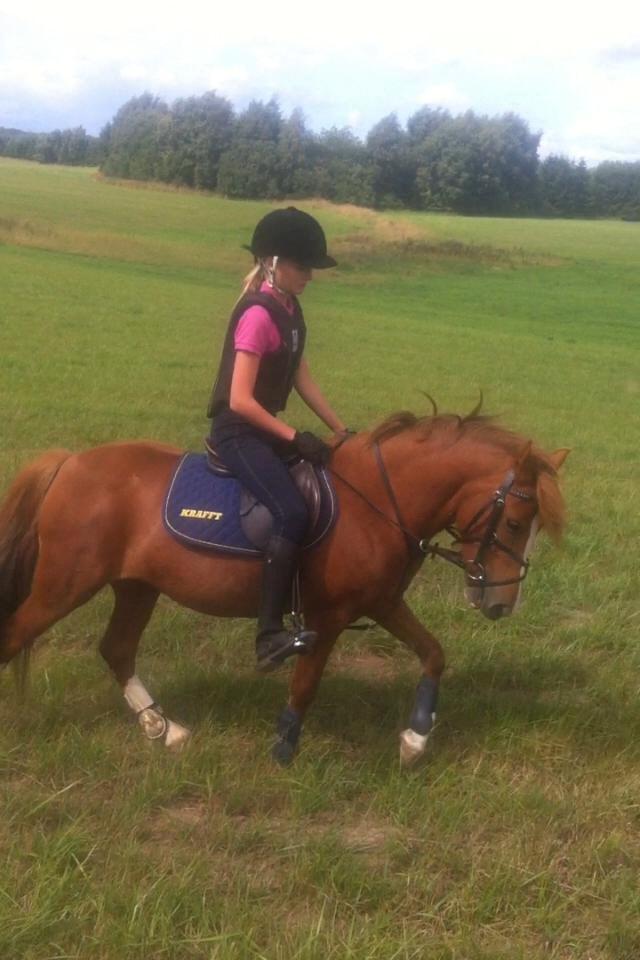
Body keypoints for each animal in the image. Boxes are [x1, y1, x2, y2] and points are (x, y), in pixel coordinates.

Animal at [0, 412, 568, 764]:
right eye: (515, 521)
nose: (502, 602)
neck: (374, 501)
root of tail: (68, 463)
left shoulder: (382, 602)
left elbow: (433, 654)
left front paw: (416, 739)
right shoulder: (328, 616)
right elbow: (306, 682)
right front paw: (284, 748)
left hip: (136, 586)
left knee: (116, 648)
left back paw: (164, 729)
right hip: (64, 586)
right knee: (15, 635)